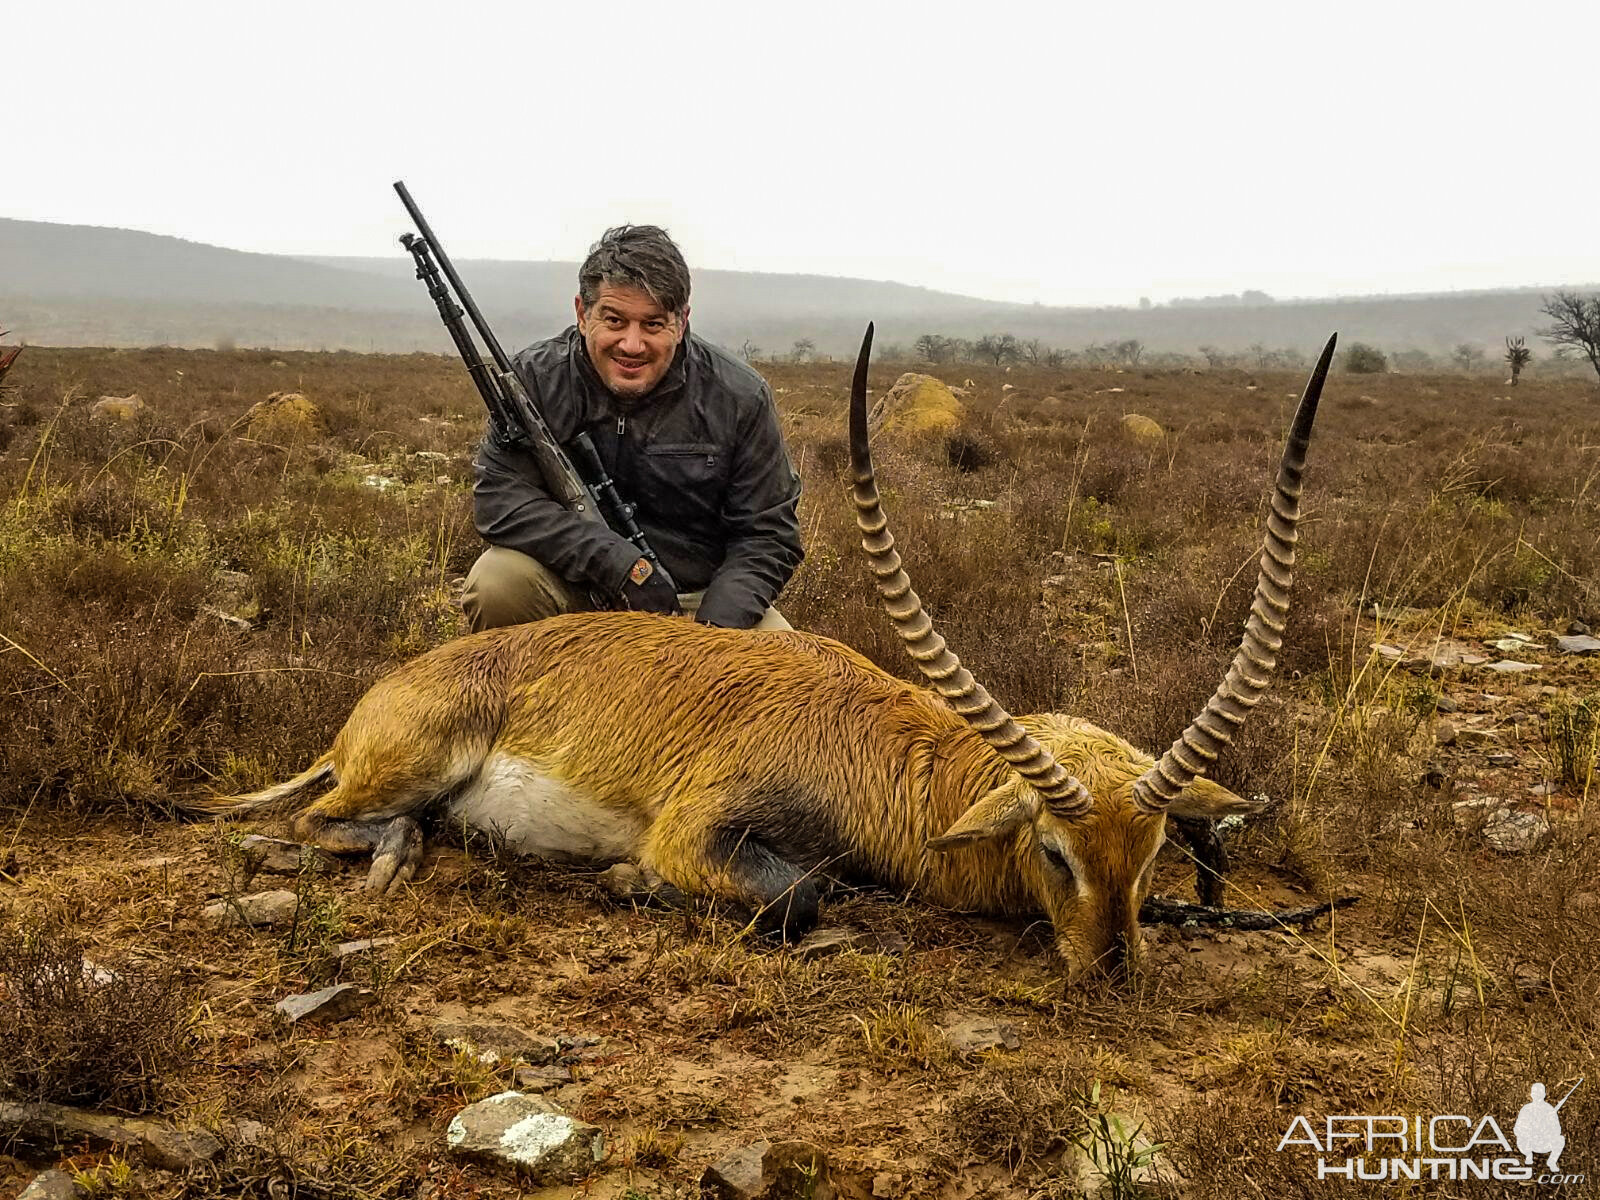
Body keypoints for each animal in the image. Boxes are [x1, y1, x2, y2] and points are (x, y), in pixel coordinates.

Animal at [190, 326, 1337, 979]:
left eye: (1151, 856)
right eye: (1057, 851)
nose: (1111, 972)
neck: (886, 754)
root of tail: (377, 702)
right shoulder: (702, 831)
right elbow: (799, 895)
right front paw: (630, 886)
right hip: (414, 763)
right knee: (314, 824)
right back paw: (397, 851)